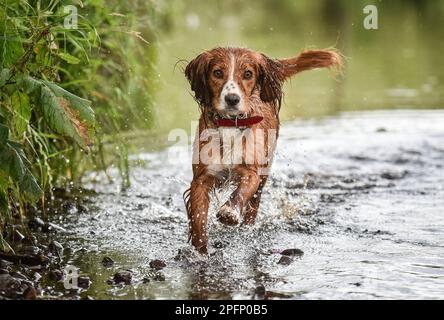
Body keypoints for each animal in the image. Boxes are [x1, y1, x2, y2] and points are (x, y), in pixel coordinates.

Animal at [182, 46, 342, 254]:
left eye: (248, 74)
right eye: (217, 73)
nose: (232, 99)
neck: (231, 125)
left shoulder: (252, 173)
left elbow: (242, 192)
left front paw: (229, 212)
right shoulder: (202, 178)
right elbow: (199, 217)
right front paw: (200, 250)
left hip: (264, 175)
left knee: (253, 206)